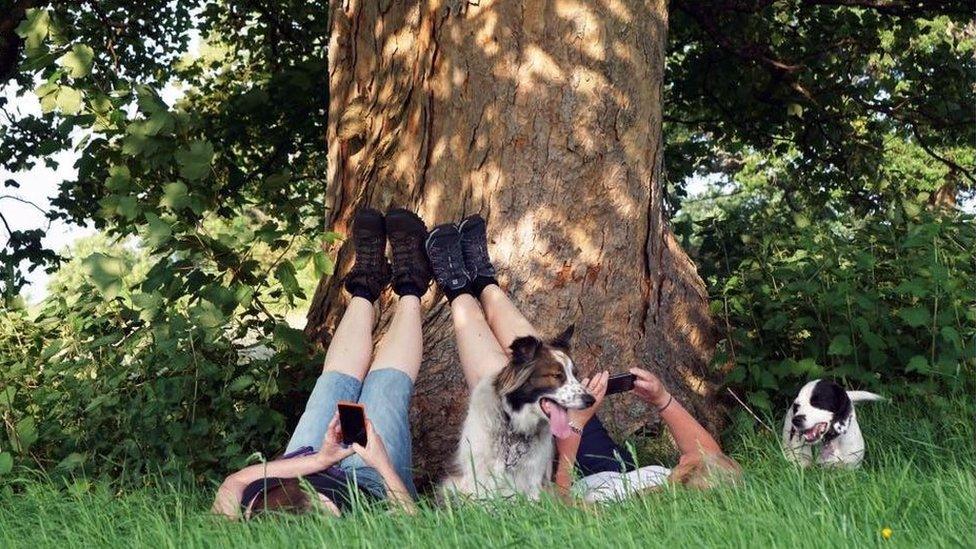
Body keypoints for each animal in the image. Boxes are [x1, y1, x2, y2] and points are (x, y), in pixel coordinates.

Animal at [442, 326, 596, 500]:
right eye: (557, 375)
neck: (514, 428)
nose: (591, 400)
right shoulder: (478, 481)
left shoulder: (534, 482)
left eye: (575, 374)